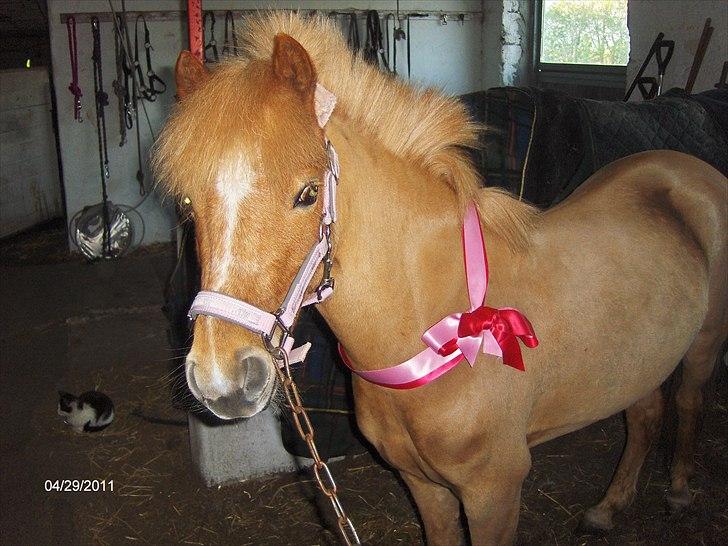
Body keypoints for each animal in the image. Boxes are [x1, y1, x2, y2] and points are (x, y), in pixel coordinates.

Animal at [158, 12, 728, 544]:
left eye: (307, 193)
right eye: (187, 204)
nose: (224, 380)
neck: (432, 320)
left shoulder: (494, 492)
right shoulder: (423, 485)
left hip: (702, 345)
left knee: (688, 401)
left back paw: (679, 492)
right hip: (638, 359)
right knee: (646, 415)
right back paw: (608, 508)